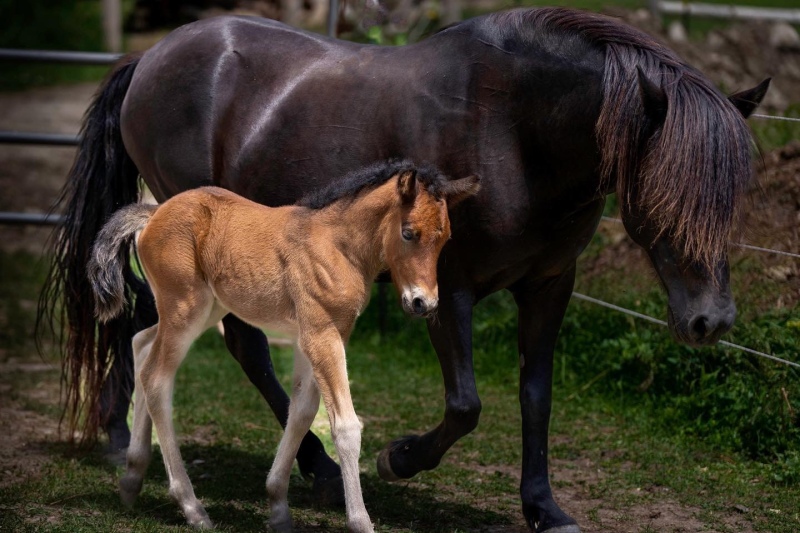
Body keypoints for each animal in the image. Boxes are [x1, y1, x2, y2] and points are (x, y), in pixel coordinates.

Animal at [87, 162, 480, 531]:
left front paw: (278, 507)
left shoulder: (316, 335)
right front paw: (360, 521)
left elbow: (303, 412)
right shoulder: (321, 334)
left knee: (141, 344)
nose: (423, 303)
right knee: (156, 379)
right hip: (185, 308)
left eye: (445, 238)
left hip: (204, 309)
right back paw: (191, 507)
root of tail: (154, 213)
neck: (339, 248)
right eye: (408, 233)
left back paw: (132, 479)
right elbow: (345, 426)